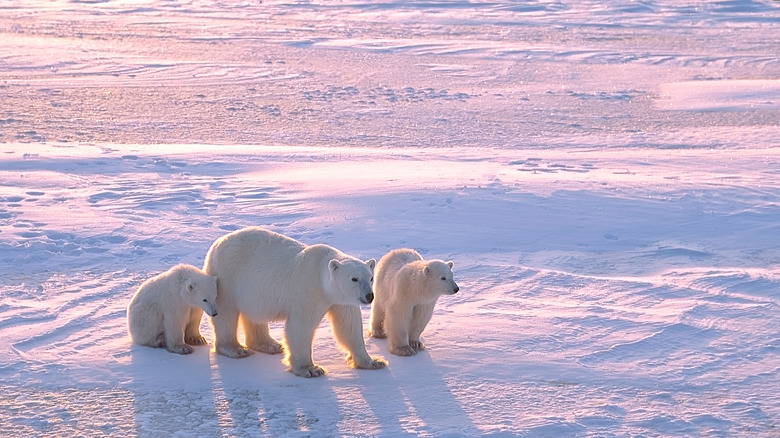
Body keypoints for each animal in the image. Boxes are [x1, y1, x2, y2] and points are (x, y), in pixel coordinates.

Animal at [201, 226, 384, 376]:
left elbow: (349, 326)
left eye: (371, 277)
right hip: (227, 277)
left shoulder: (341, 300)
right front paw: (310, 369)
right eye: (354, 278)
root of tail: (216, 244)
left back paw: (270, 345)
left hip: (252, 290)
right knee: (226, 313)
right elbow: (301, 326)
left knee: (255, 315)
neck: (321, 275)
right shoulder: (308, 291)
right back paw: (235, 349)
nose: (369, 296)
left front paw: (373, 362)